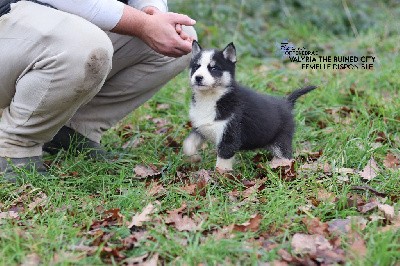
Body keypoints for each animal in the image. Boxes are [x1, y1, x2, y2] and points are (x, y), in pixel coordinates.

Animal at [183, 40, 318, 171]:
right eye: (196, 67)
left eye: (214, 68)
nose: (198, 77)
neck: (211, 98)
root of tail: (286, 103)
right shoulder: (200, 128)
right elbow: (188, 144)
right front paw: (194, 158)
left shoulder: (230, 136)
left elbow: (222, 162)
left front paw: (220, 176)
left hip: (281, 142)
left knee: (286, 156)